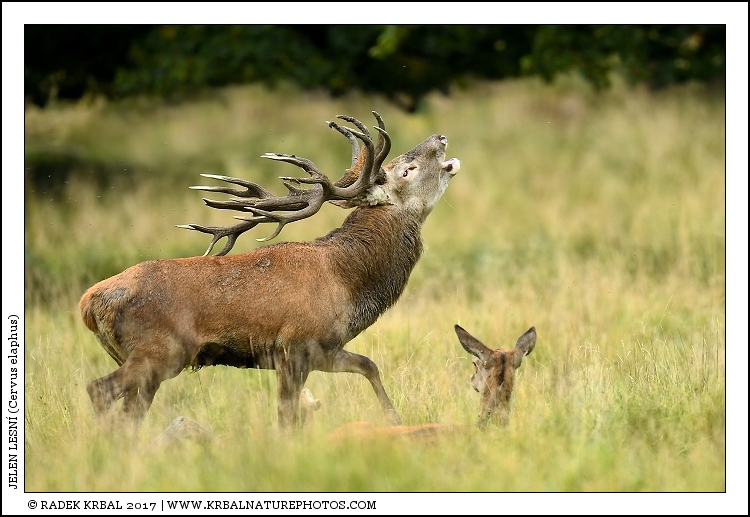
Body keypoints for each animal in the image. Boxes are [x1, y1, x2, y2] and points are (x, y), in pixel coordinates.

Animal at [79, 111, 460, 430]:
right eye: (406, 171)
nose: (440, 137)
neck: (348, 282)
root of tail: (89, 303)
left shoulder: (324, 349)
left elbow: (369, 365)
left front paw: (394, 420)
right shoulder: (296, 345)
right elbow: (287, 416)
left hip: (142, 360)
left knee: (128, 415)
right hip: (160, 351)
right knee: (99, 390)